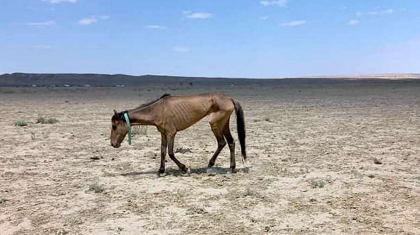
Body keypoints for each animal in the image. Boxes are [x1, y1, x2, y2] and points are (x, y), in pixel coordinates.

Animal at [110, 92, 246, 173]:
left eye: (114, 126)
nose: (112, 144)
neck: (157, 109)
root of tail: (230, 98)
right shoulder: (163, 134)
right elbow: (163, 151)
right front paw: (161, 170)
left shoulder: (171, 133)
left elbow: (170, 153)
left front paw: (184, 168)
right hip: (223, 124)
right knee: (230, 142)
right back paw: (231, 167)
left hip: (215, 124)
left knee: (222, 142)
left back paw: (213, 164)